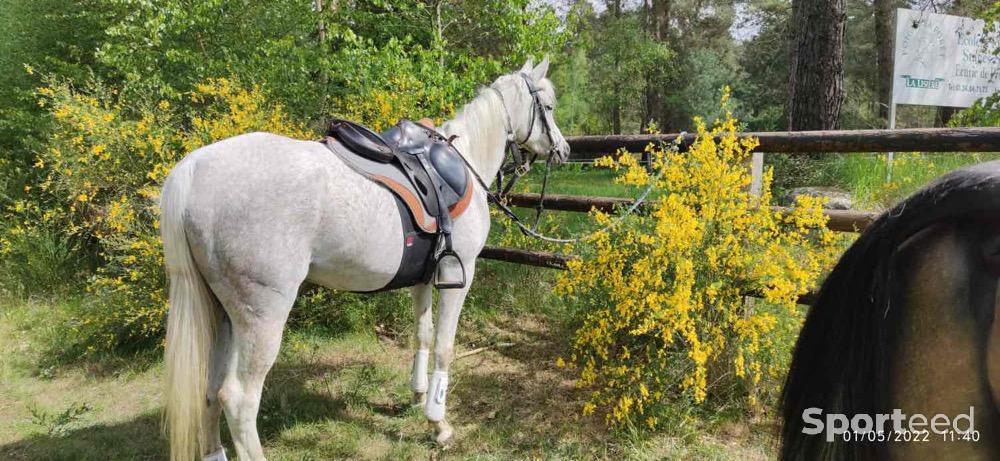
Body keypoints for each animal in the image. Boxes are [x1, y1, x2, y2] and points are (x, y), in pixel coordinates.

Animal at [164, 61, 572, 460]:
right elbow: (444, 345)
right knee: (239, 399)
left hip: (220, 311)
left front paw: (418, 396)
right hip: (261, 317)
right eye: (549, 107)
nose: (564, 150)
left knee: (209, 388)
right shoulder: (460, 274)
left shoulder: (424, 278)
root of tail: (194, 168)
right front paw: (439, 424)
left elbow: (422, 334)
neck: (463, 161)